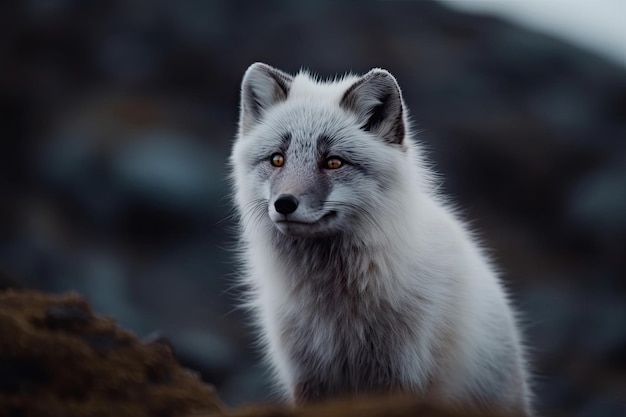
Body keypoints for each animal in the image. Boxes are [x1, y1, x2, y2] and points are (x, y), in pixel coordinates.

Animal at [229, 61, 532, 412]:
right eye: (277, 159)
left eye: (333, 162)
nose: (284, 204)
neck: (335, 310)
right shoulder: (307, 378)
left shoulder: (400, 378)